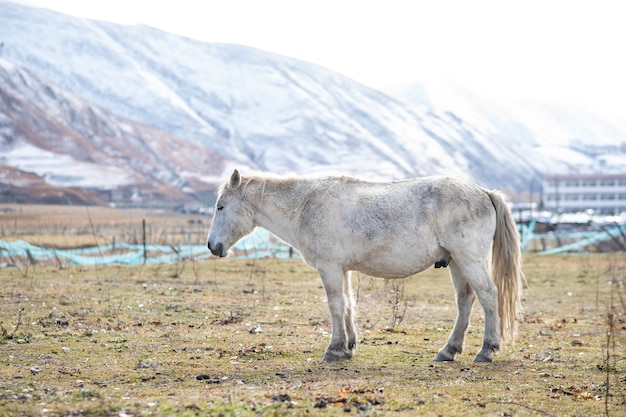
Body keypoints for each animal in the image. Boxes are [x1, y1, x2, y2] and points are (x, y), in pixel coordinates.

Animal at [206, 169, 520, 360]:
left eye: (220, 206)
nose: (212, 246)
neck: (305, 205)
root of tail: (483, 192)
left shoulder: (329, 268)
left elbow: (335, 306)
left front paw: (334, 349)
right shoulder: (341, 269)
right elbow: (347, 305)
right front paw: (348, 347)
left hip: (469, 260)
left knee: (488, 296)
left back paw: (487, 350)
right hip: (456, 263)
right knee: (465, 300)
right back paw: (448, 350)